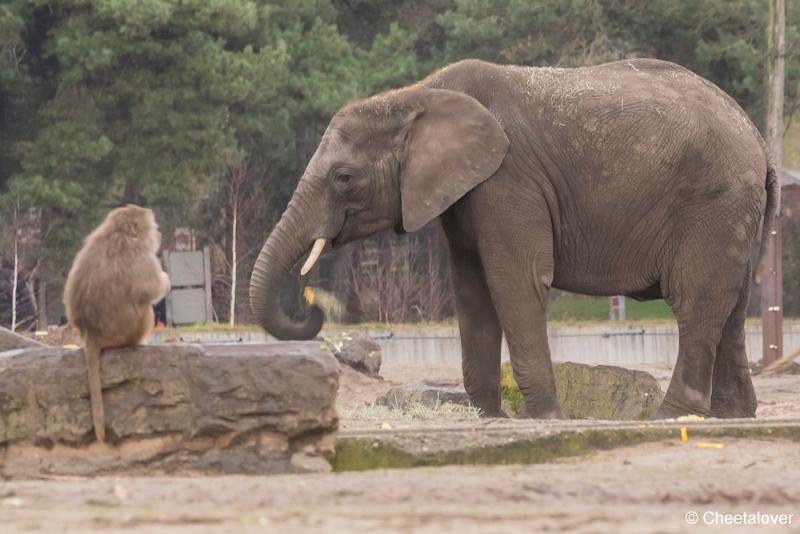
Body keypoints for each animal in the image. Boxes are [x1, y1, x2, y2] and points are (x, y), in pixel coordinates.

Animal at [250, 58, 776, 422]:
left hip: (712, 202)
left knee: (696, 302)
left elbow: (515, 282)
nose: (314, 305)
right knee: (730, 307)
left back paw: (670, 418)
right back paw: (733, 416)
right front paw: (490, 417)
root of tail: (758, 138)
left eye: (343, 178)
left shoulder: (507, 180)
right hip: (733, 211)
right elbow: (472, 292)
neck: (417, 96)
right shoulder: (464, 194)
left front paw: (545, 418)